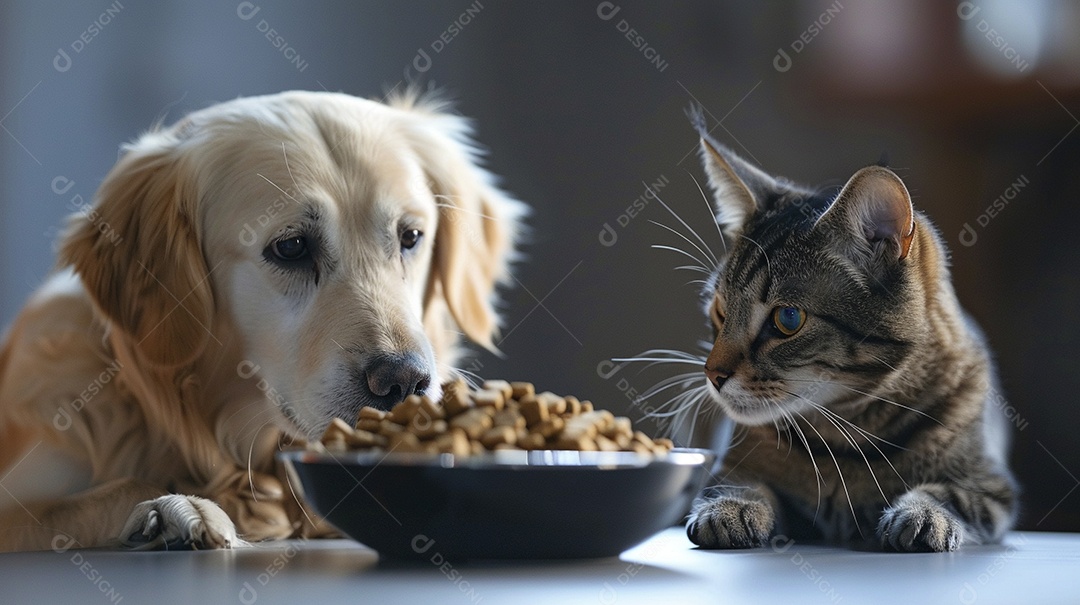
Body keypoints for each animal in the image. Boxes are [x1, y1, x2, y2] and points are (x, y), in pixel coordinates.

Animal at [678, 111, 1015, 550]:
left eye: (787, 319)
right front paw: (730, 507)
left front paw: (923, 514)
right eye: (720, 310)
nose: (712, 374)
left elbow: (950, 493)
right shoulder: (730, 466)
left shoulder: (992, 487)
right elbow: (742, 483)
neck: (846, 442)